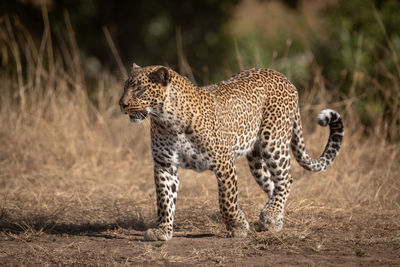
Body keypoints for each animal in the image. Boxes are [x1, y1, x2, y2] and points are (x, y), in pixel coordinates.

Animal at [119, 63, 344, 242]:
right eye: (125, 87)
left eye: (139, 89)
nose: (122, 104)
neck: (166, 120)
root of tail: (283, 77)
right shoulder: (165, 164)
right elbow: (164, 200)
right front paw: (163, 231)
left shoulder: (223, 162)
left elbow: (227, 201)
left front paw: (238, 227)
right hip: (256, 160)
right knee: (272, 185)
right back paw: (273, 221)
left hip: (274, 142)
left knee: (286, 180)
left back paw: (271, 215)